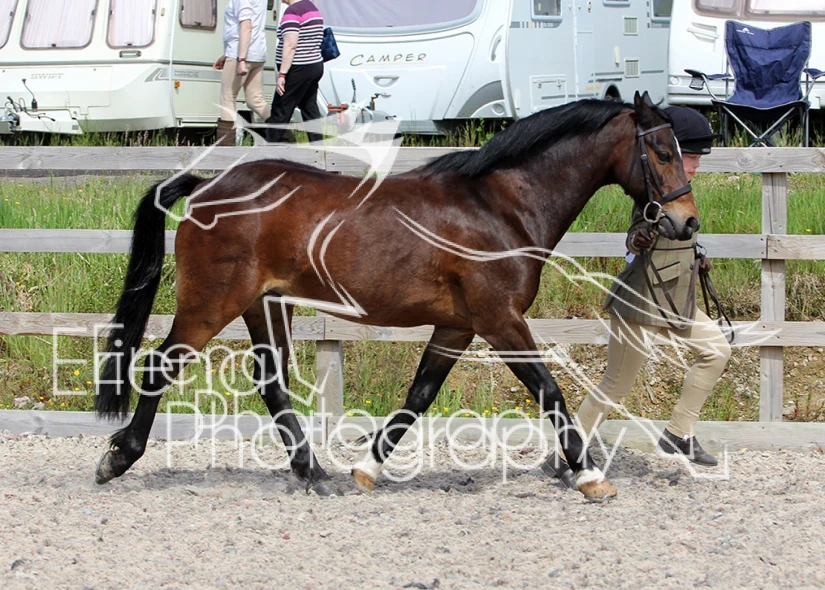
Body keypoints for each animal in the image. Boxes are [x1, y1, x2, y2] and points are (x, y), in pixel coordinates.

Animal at [94, 92, 697, 501]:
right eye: (662, 150)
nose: (687, 222)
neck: (501, 207)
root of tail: (206, 188)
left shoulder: (458, 326)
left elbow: (419, 395)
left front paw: (367, 469)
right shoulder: (501, 321)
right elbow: (549, 390)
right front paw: (591, 476)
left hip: (263, 305)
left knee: (271, 383)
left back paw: (315, 473)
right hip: (212, 304)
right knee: (160, 368)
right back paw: (118, 458)